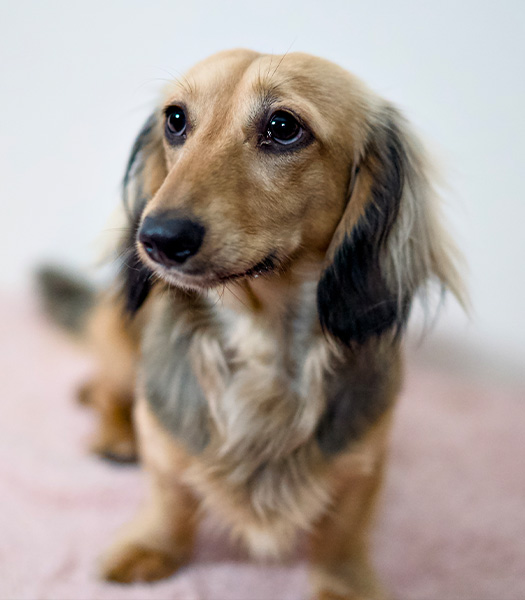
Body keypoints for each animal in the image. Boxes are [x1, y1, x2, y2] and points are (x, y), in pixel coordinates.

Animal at [37, 49, 462, 596]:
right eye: (175, 120)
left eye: (283, 127)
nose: (155, 238)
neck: (263, 337)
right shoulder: (164, 439)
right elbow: (169, 495)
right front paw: (152, 545)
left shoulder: (365, 459)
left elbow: (342, 532)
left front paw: (343, 582)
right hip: (116, 343)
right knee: (103, 393)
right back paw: (114, 437)